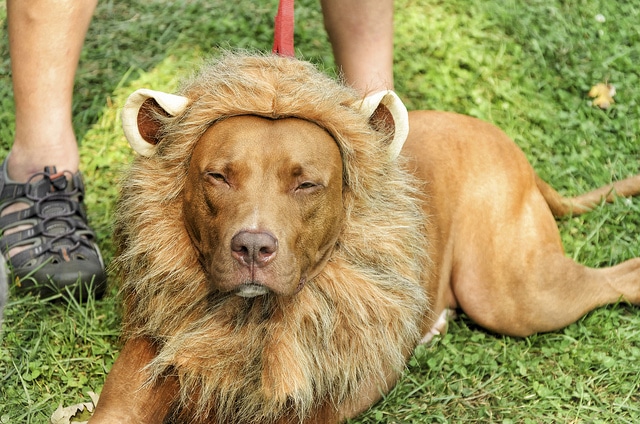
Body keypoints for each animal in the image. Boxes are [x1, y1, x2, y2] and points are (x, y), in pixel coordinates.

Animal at [89, 54, 640, 422]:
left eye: (306, 183)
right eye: (218, 177)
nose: (252, 247)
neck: (249, 320)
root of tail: (503, 140)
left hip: (512, 295)